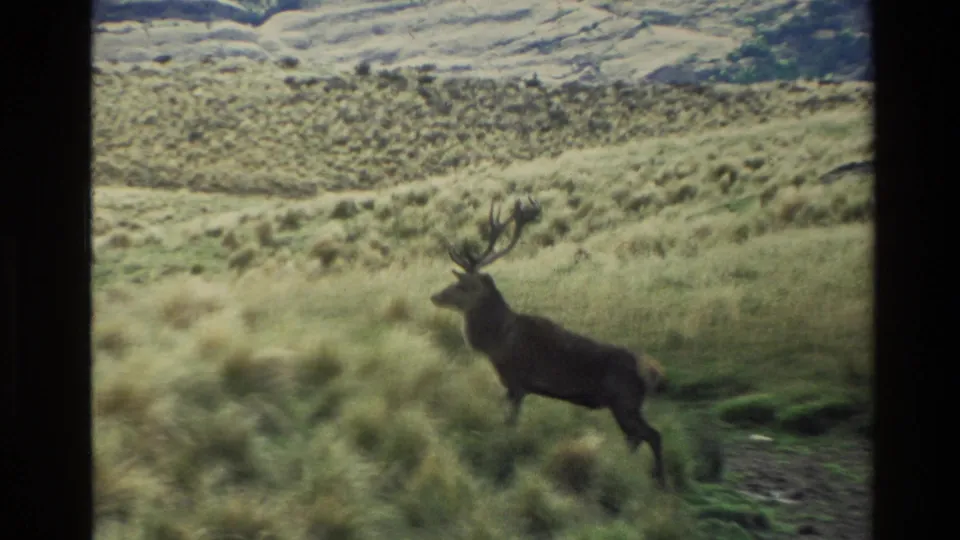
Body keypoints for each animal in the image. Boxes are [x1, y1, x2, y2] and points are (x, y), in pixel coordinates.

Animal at [429, 195, 667, 489]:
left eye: (464, 285)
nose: (435, 296)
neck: (497, 342)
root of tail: (654, 372)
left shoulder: (516, 383)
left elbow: (509, 423)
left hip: (625, 402)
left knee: (653, 435)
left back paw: (659, 482)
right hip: (628, 407)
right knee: (636, 439)